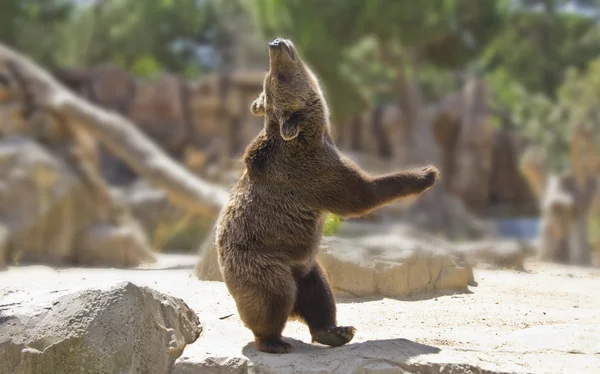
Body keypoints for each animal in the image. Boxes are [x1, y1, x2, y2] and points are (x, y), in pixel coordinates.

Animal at [216, 38, 440, 354]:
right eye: (277, 77)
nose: (275, 44)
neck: (316, 132)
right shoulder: (313, 173)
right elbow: (361, 194)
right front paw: (426, 173)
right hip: (264, 262)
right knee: (273, 297)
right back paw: (273, 341)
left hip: (306, 265)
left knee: (320, 295)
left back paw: (336, 331)